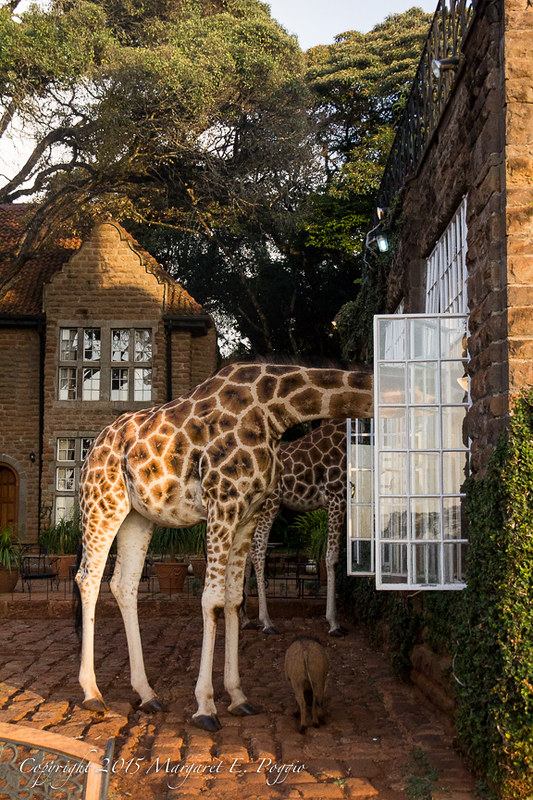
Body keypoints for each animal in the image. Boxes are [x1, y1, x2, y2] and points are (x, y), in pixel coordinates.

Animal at [241, 419, 348, 636]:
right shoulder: (337, 497)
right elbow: (332, 558)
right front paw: (334, 623)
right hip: (271, 505)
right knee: (257, 550)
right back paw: (267, 622)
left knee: (245, 554)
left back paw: (245, 618)